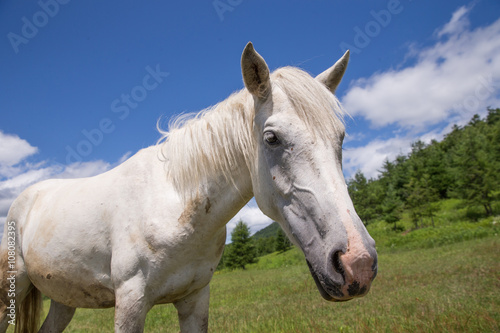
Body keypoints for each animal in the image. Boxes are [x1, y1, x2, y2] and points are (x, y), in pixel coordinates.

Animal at [0, 42, 376, 330]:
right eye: (272, 138)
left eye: (341, 138)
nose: (356, 262)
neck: (176, 209)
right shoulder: (130, 302)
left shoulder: (195, 300)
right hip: (11, 290)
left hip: (65, 299)